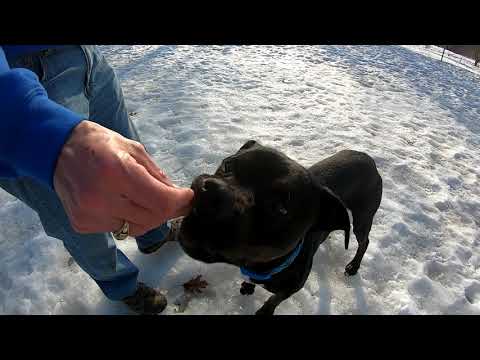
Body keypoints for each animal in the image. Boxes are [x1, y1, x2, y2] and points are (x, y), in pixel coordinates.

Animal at [177, 141, 382, 316]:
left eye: (281, 208)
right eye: (227, 165)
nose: (213, 191)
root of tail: (369, 159)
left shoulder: (291, 289)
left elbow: (274, 300)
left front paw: (264, 312)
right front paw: (248, 286)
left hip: (363, 218)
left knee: (364, 241)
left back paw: (354, 266)